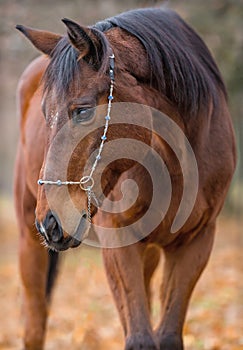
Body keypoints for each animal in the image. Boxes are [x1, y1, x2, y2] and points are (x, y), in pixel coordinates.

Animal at [14, 7, 235, 350]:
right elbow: (140, 338)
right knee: (34, 325)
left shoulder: (195, 242)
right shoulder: (119, 242)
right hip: (27, 236)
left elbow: (166, 335)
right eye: (44, 113)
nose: (49, 221)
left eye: (83, 111)